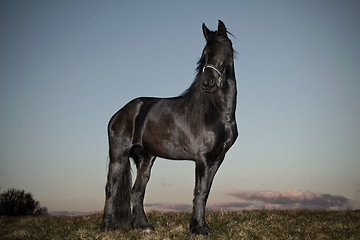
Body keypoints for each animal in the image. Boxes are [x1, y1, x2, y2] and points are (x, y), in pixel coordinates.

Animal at [101, 19, 238, 235]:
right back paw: (108, 226)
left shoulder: (217, 159)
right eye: (205, 53)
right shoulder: (203, 159)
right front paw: (197, 229)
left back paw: (144, 226)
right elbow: (199, 191)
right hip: (118, 155)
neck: (216, 112)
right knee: (111, 187)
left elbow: (206, 192)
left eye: (223, 50)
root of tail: (120, 113)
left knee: (137, 190)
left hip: (146, 158)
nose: (207, 83)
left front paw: (201, 226)